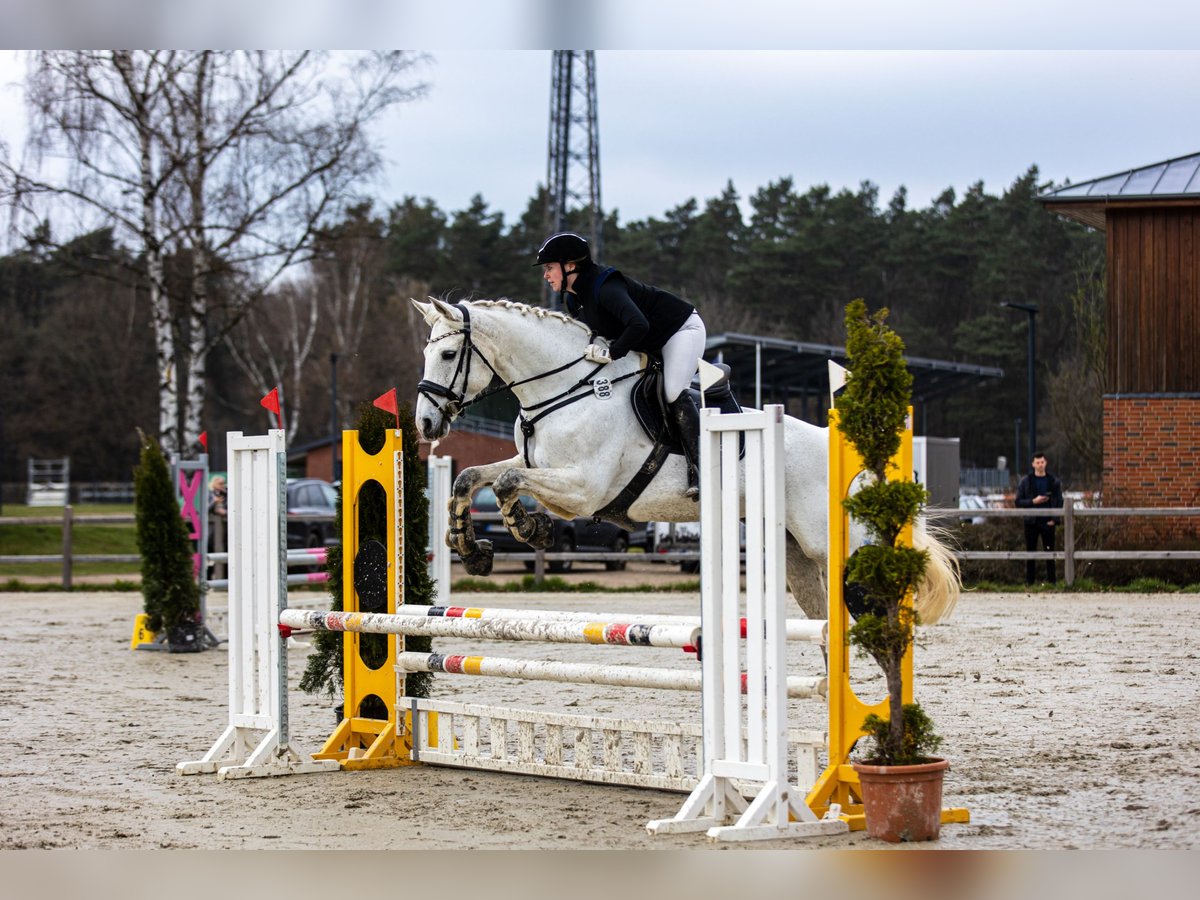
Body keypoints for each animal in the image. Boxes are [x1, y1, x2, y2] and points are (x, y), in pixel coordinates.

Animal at [412, 300, 955, 624]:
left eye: (447, 355)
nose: (424, 424)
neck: (566, 389)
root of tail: (841, 452)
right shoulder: (540, 467)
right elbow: (470, 477)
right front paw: (472, 548)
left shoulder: (583, 489)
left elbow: (507, 480)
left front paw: (531, 529)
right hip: (796, 553)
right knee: (823, 620)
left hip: (832, 544)